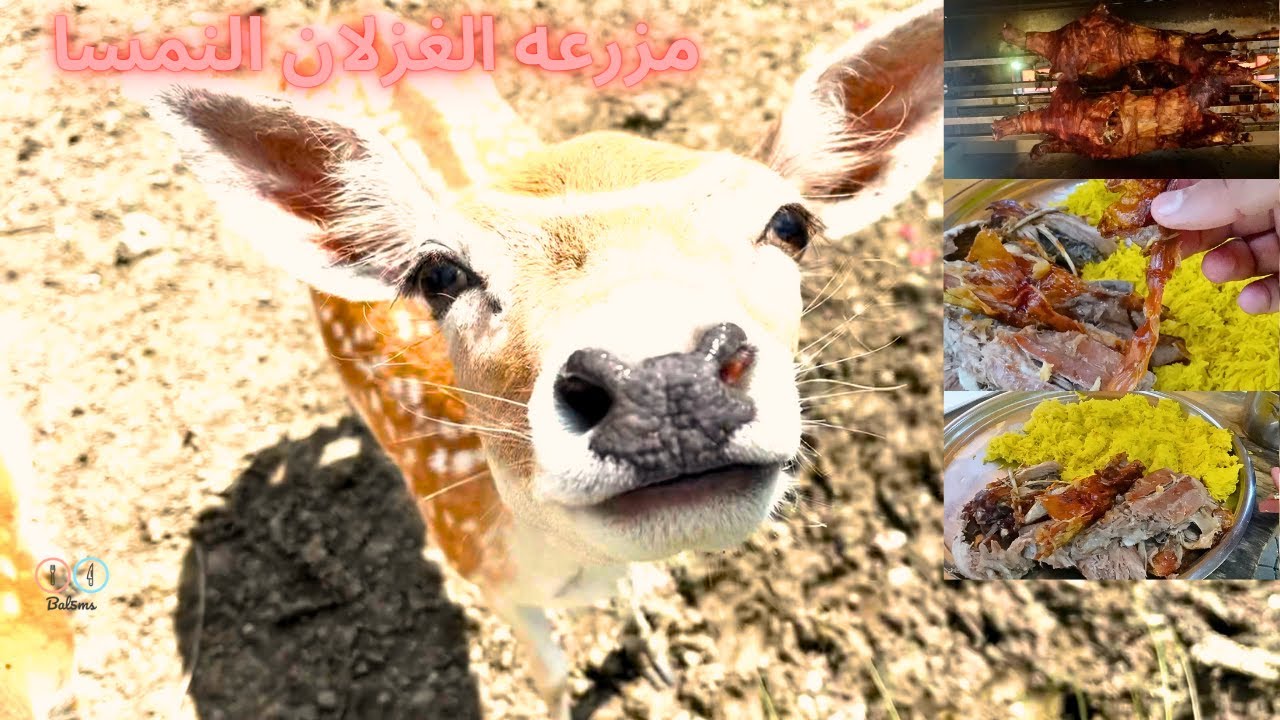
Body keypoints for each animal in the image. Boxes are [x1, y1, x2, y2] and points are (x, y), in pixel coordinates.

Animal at [132, 3, 943, 716]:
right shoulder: (476, 568)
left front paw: (651, 647)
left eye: (789, 223)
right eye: (441, 273)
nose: (663, 383)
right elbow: (550, 677)